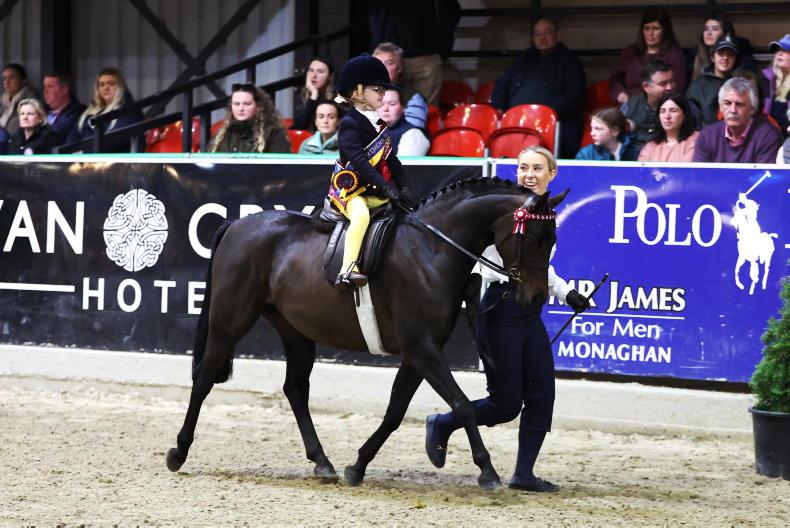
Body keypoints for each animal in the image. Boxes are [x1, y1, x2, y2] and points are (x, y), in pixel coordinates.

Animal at [165, 177, 567, 490]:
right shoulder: (423, 349)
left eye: (553, 238)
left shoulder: (419, 352)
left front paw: (357, 466)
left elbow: (395, 412)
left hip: (295, 330)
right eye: (534, 237)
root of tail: (236, 224)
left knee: (295, 390)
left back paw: (322, 462)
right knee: (203, 379)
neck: (432, 249)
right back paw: (178, 452)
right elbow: (463, 404)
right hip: (229, 321)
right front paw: (487, 471)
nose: (536, 296)